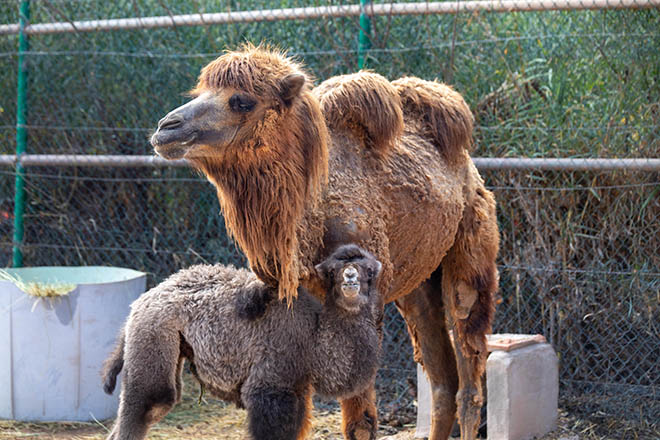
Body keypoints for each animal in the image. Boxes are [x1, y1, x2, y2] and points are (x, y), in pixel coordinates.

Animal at [150, 44, 499, 440]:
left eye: (241, 101)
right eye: (200, 92)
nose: (166, 128)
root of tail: (468, 168)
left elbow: (359, 421)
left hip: (469, 254)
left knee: (468, 373)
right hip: (418, 283)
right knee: (442, 381)